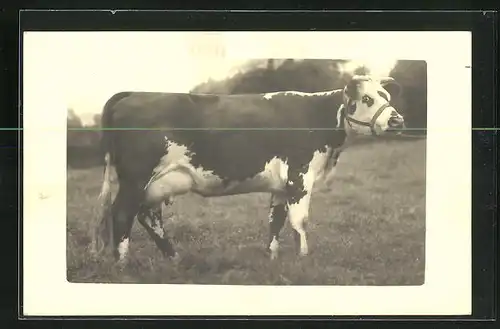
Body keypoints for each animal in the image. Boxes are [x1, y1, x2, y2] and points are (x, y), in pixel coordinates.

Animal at [93, 75, 406, 264]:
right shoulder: (300, 177)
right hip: (135, 179)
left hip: (155, 184)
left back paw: (174, 259)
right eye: (367, 99)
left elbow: (275, 220)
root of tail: (134, 93)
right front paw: (303, 259)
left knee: (148, 217)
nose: (397, 120)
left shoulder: (281, 184)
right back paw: (123, 264)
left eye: (387, 96)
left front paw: (273, 258)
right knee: (122, 214)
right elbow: (300, 221)